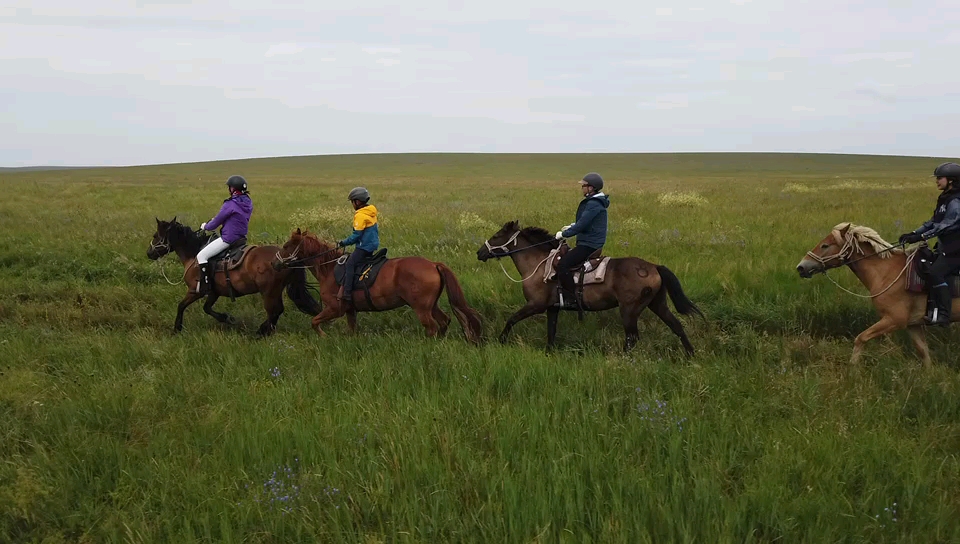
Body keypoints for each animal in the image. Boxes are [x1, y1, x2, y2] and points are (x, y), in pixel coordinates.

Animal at [144, 217, 320, 336]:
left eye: (155, 235)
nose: (149, 253)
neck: (194, 255)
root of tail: (287, 257)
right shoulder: (214, 292)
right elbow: (207, 308)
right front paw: (227, 318)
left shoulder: (195, 291)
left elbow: (181, 306)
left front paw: (177, 328)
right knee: (276, 312)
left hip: (269, 292)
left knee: (274, 311)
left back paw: (261, 332)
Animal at [272, 230, 484, 344]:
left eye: (287, 245)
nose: (274, 264)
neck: (329, 268)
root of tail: (433, 264)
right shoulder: (350, 310)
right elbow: (351, 329)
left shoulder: (334, 309)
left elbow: (314, 322)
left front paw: (324, 336)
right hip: (431, 305)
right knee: (444, 321)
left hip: (421, 308)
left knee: (431, 326)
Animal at [474, 221, 704, 352]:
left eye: (496, 236)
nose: (479, 252)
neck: (538, 264)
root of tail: (653, 267)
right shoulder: (552, 308)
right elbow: (551, 332)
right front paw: (549, 352)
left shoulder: (536, 305)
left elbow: (511, 319)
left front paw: (500, 341)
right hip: (657, 304)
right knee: (676, 326)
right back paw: (690, 355)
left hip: (629, 310)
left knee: (632, 337)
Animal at [792, 222, 956, 370]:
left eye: (825, 246)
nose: (801, 267)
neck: (887, 272)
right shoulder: (913, 324)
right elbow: (923, 352)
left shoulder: (894, 320)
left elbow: (861, 338)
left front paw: (852, 368)